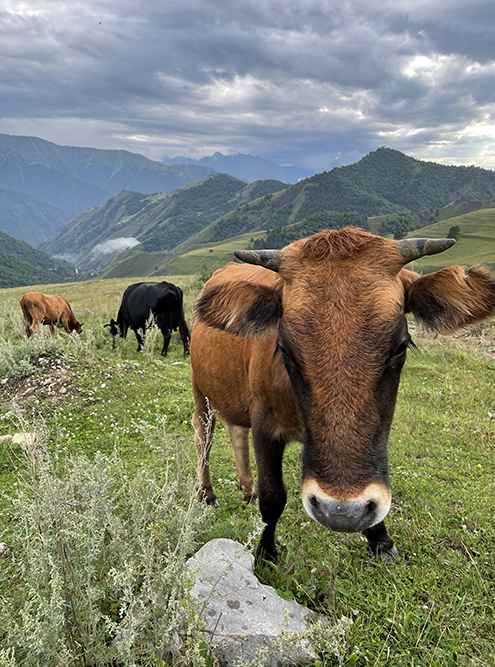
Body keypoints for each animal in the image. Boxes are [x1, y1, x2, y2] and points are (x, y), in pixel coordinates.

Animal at [191, 230, 495, 564]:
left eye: (400, 348)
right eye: (285, 351)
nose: (341, 512)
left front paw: (380, 541)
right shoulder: (264, 425)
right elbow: (272, 495)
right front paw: (266, 553)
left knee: (236, 433)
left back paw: (247, 489)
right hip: (201, 392)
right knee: (203, 435)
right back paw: (207, 492)